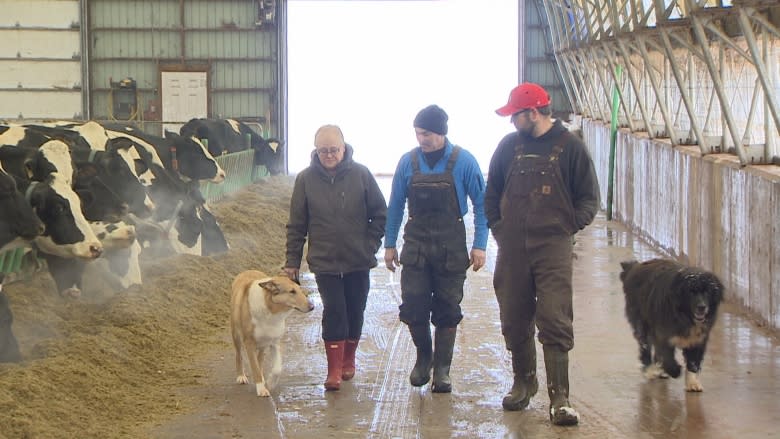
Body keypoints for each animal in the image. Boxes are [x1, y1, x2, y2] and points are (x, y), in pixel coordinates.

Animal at [229, 270, 314, 398]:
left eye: (300, 289)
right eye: (292, 291)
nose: (312, 307)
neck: (271, 311)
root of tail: (248, 270)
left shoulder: (275, 341)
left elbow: (277, 368)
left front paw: (269, 383)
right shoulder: (249, 342)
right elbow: (254, 367)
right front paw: (261, 389)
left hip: (263, 343)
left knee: (260, 359)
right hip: (237, 335)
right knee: (239, 355)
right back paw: (241, 376)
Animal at [620, 258, 724, 392]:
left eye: (707, 291)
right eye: (691, 292)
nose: (702, 307)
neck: (684, 316)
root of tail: (635, 267)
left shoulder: (698, 339)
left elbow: (693, 362)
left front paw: (692, 382)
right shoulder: (663, 335)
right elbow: (668, 359)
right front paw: (674, 371)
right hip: (641, 323)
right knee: (645, 347)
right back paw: (650, 370)